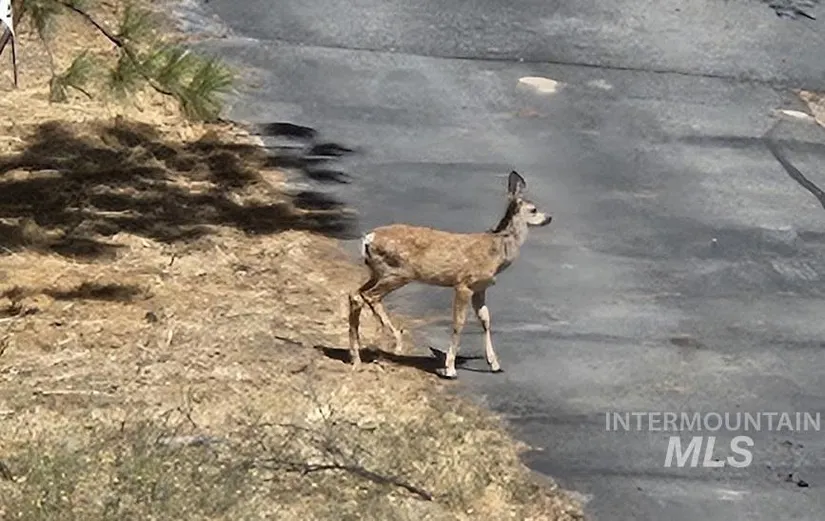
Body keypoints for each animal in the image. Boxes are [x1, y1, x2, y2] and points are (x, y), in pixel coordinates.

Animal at [347, 170, 553, 379]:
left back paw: (356, 358)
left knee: (355, 294)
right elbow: (458, 323)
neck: (496, 252)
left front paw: (494, 364)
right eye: (534, 209)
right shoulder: (464, 284)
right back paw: (396, 341)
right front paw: (450, 368)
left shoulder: (480, 288)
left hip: (377, 272)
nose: (549, 217)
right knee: (370, 296)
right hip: (397, 272)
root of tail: (368, 238)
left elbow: (486, 320)